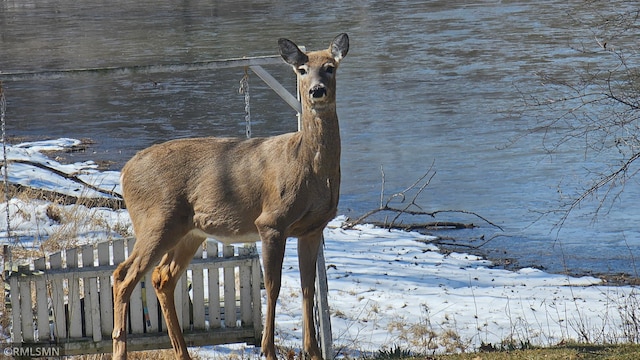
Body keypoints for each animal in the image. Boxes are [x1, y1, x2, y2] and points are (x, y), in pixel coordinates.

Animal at [111, 33, 350, 360]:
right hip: (155, 221)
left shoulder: (313, 228)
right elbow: (272, 287)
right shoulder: (271, 222)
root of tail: (124, 171)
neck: (310, 168)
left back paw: (182, 353)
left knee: (162, 277)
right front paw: (268, 350)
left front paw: (312, 351)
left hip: (189, 231)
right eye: (301, 70)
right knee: (123, 275)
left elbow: (308, 289)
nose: (316, 91)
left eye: (329, 67)